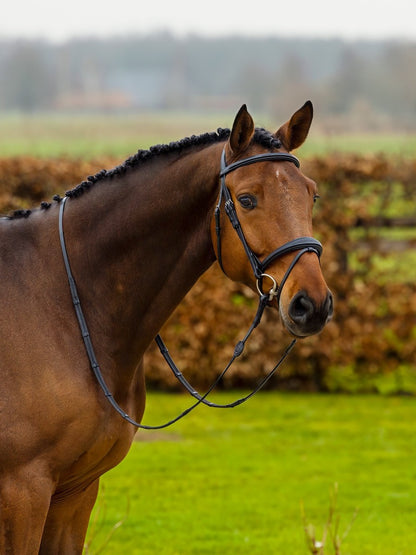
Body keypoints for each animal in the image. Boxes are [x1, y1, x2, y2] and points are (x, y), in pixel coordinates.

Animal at [0, 102, 332, 552]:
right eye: (247, 200)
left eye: (310, 193)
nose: (311, 304)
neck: (62, 304)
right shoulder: (23, 491)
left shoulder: (75, 492)